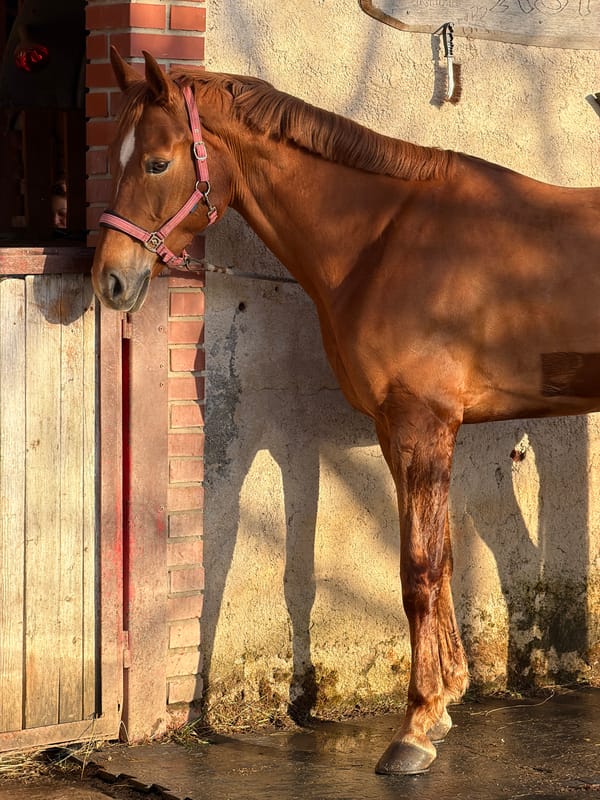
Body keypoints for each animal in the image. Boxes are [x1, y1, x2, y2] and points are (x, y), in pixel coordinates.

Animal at [92, 46, 600, 775]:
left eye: (157, 162)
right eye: (115, 155)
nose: (110, 278)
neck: (384, 237)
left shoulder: (422, 426)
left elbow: (417, 571)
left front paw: (413, 730)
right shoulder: (394, 430)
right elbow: (441, 560)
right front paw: (443, 702)